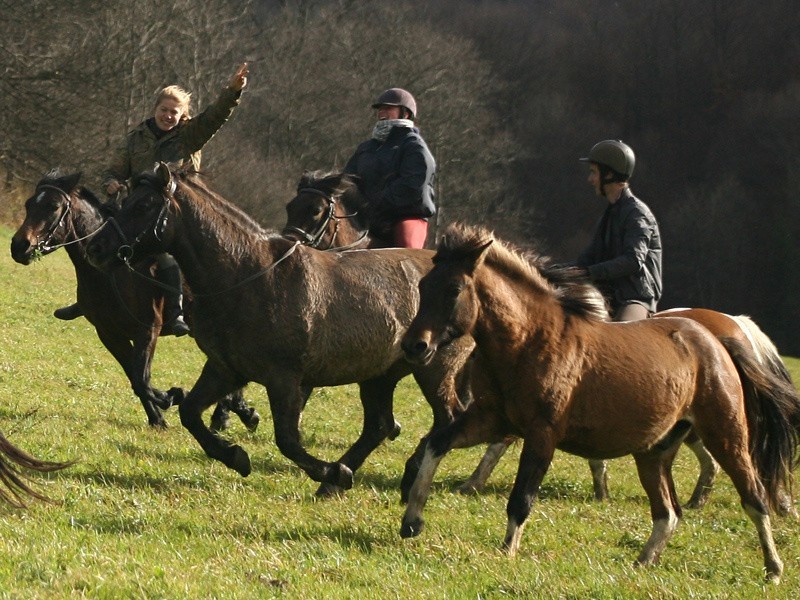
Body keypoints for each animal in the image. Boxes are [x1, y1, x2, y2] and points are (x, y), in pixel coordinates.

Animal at [9, 169, 260, 432]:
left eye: (53, 206)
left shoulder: (147, 330)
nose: (19, 246)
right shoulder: (110, 334)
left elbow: (142, 378)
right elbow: (135, 378)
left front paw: (172, 396)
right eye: (29, 204)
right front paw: (158, 416)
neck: (110, 274)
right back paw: (236, 412)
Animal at [86, 163, 476, 496]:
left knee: (448, 420)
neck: (246, 276)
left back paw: (403, 476)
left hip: (434, 369)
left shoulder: (285, 377)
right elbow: (190, 413)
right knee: (380, 425)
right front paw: (235, 456)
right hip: (380, 374)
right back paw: (339, 481)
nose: (95, 248)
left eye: (144, 205)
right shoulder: (225, 368)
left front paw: (326, 469)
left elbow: (287, 440)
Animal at [404, 223, 796, 584]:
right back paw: (643, 561)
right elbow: (437, 445)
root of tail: (717, 340)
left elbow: (522, 497)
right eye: (423, 287)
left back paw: (773, 568)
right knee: (668, 513)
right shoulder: (491, 420)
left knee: (754, 497)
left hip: (726, 435)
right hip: (653, 451)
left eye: (454, 289)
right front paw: (412, 520)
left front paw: (507, 551)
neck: (528, 340)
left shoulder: (542, 434)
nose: (415, 346)